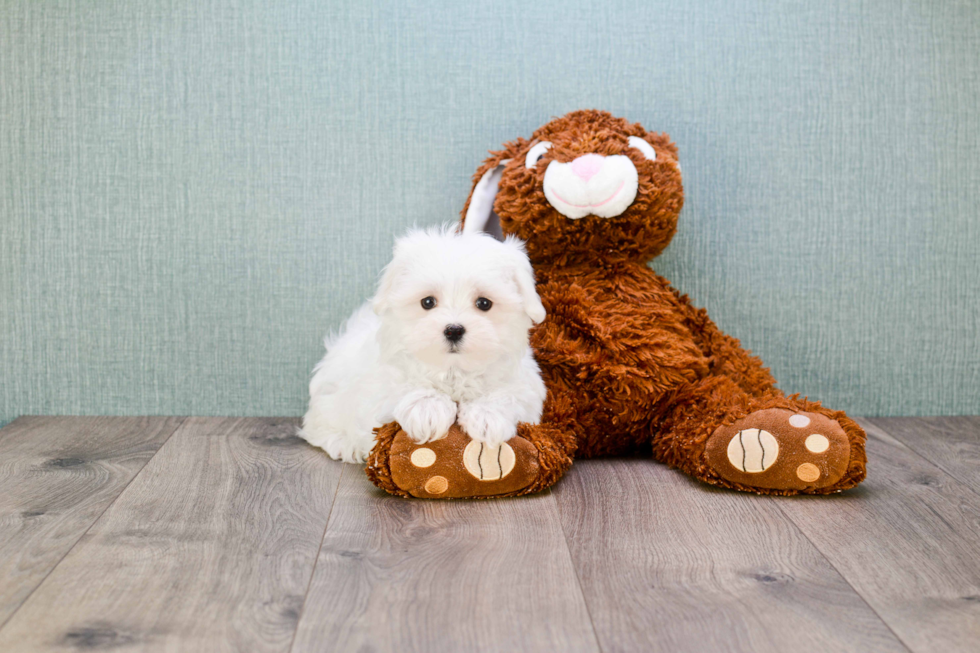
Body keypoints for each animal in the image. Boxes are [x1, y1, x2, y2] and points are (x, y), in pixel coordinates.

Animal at [298, 227, 548, 460]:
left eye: (484, 303)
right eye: (428, 302)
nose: (454, 330)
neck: (453, 370)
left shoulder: (526, 387)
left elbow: (507, 393)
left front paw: (487, 416)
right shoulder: (381, 384)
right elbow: (405, 385)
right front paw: (428, 408)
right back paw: (343, 443)